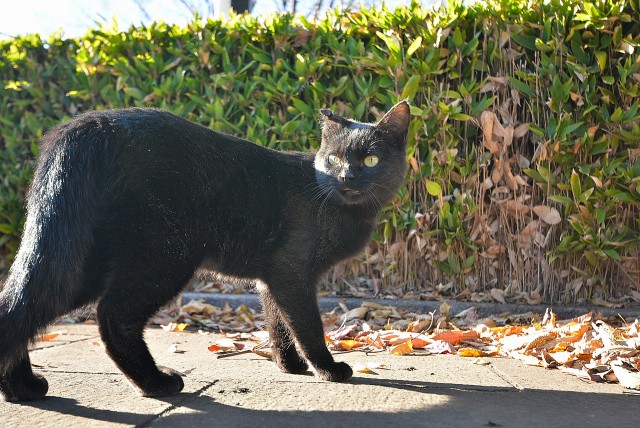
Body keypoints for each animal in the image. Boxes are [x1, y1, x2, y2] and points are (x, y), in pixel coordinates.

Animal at [0, 100, 410, 402]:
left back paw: (20, 389)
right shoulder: (292, 273)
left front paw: (289, 365)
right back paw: (156, 383)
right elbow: (307, 325)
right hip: (165, 256)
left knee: (22, 305)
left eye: (370, 159)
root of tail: (93, 123)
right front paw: (327, 368)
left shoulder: (274, 279)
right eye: (335, 159)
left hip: (81, 261)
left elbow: (278, 322)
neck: (332, 200)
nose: (347, 177)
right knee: (112, 315)